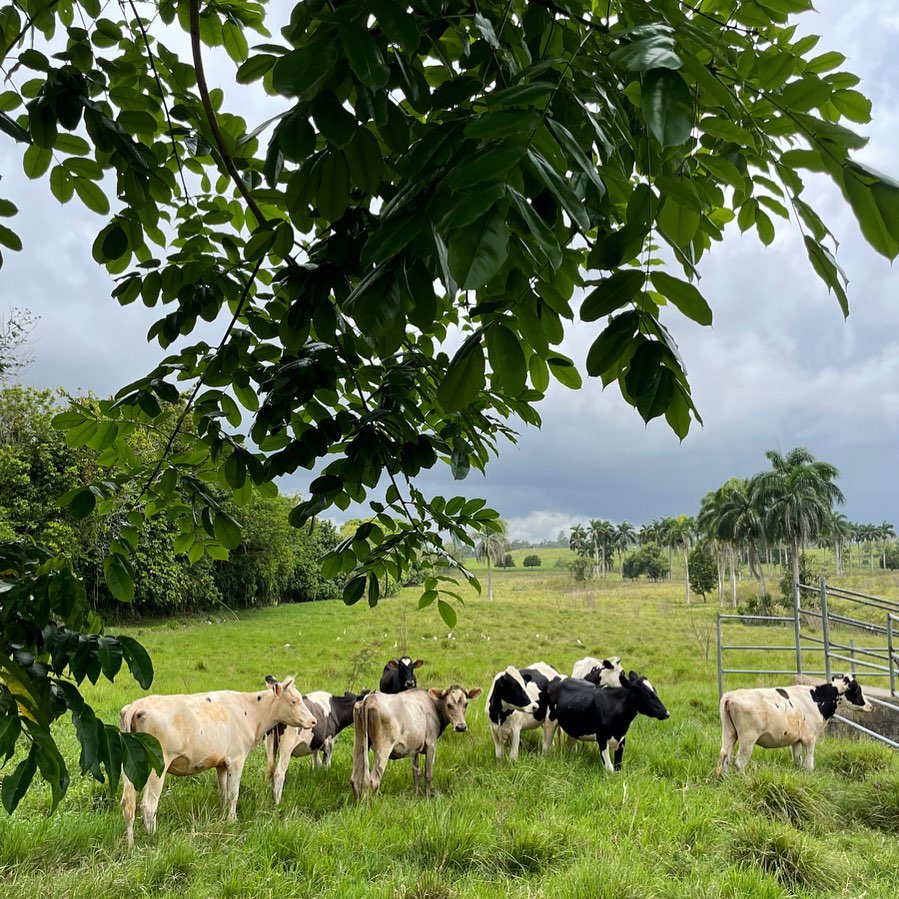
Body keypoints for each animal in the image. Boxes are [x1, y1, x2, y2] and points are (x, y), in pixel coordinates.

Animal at [120, 676, 315, 847]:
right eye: (294, 701)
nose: (313, 721)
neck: (249, 711)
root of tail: (137, 705)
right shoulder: (237, 759)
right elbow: (234, 793)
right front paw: (232, 820)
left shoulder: (221, 763)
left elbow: (224, 793)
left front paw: (222, 818)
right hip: (158, 766)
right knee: (148, 805)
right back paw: (153, 838)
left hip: (132, 767)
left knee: (128, 805)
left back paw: (131, 844)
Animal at [350, 684, 482, 799]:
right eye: (449, 705)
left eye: (466, 704)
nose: (461, 727)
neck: (432, 705)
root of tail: (371, 698)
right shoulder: (431, 744)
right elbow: (428, 774)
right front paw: (428, 799)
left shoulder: (414, 749)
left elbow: (416, 773)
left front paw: (416, 795)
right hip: (383, 748)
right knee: (374, 781)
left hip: (360, 743)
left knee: (355, 779)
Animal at [717, 674, 873, 775]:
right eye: (857, 689)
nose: (870, 706)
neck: (817, 699)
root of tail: (730, 697)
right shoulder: (809, 738)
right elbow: (808, 763)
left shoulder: (796, 739)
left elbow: (797, 761)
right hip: (748, 738)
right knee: (739, 762)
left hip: (729, 733)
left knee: (724, 757)